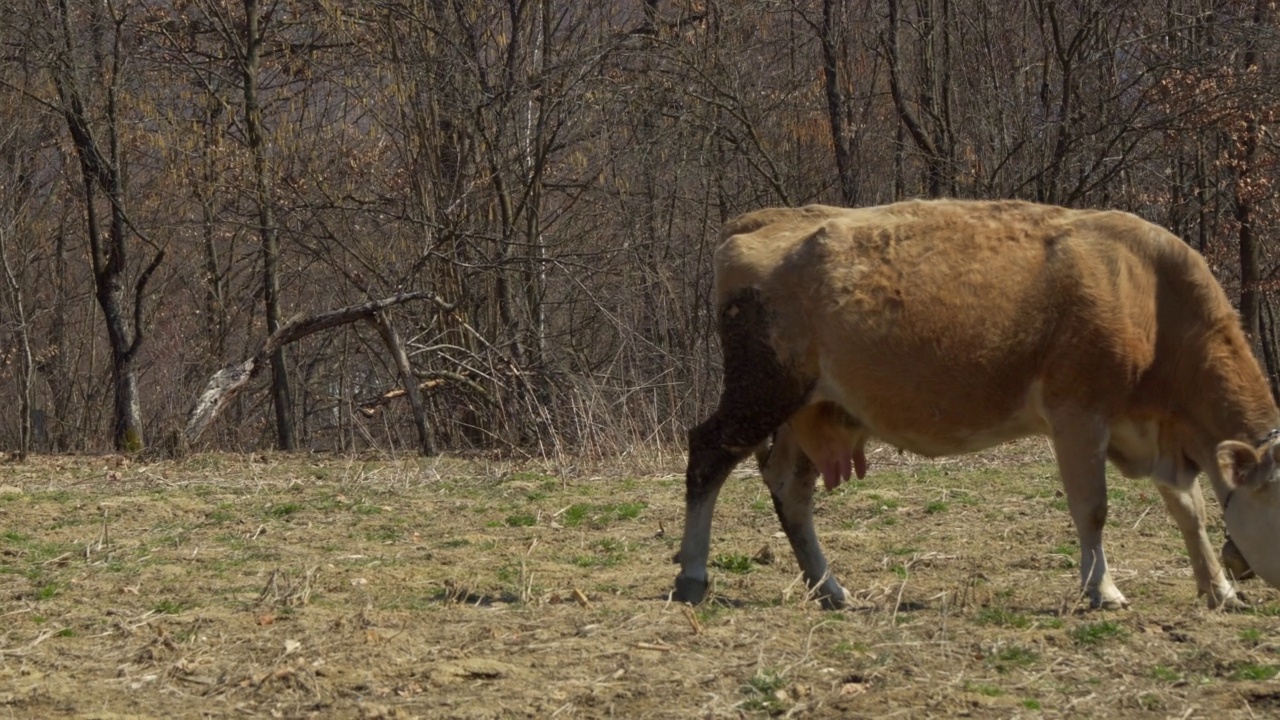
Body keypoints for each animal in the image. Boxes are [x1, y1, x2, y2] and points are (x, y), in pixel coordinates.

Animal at [670, 198, 1280, 607]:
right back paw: (692, 578)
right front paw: (1103, 590)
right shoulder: (1078, 415)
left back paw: (831, 590)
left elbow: (1189, 509)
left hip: (812, 410)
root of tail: (762, 219)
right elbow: (1093, 507)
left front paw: (1219, 589)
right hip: (761, 390)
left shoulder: (1156, 433)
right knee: (708, 454)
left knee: (789, 487)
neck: (1149, 297)